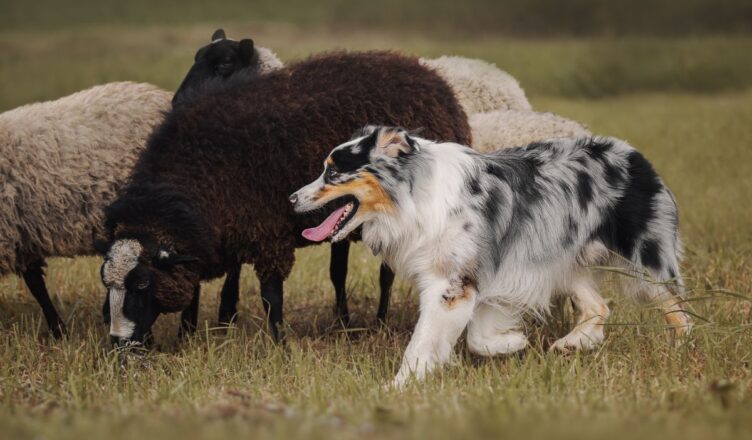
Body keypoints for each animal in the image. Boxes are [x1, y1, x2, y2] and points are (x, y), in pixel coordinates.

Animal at [290, 125, 692, 386]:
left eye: (333, 171)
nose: (291, 198)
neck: (413, 196)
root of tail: (634, 154)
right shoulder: (490, 280)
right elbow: (477, 339)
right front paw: (513, 343)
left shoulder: (451, 285)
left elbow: (421, 343)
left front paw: (398, 387)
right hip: (562, 260)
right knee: (599, 306)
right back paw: (572, 342)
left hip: (647, 263)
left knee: (680, 312)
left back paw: (682, 354)